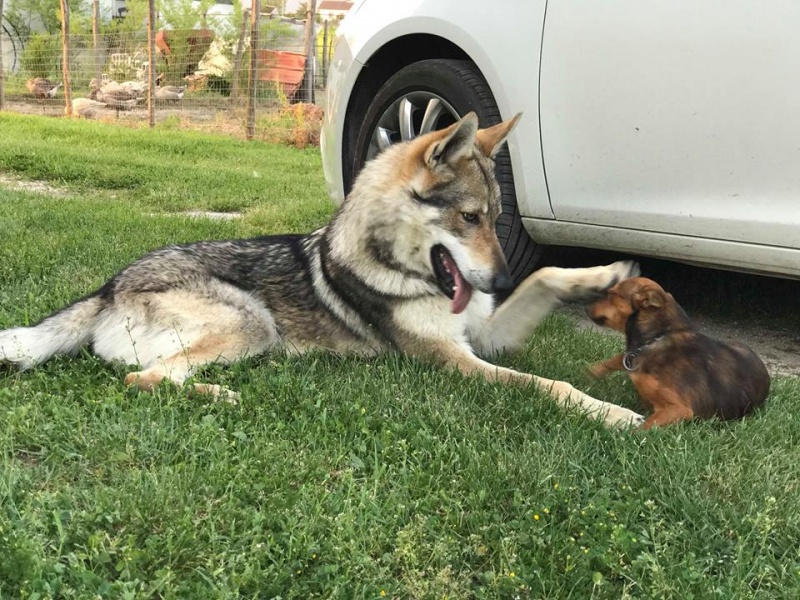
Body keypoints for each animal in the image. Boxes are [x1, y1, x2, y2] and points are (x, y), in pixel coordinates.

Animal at [588, 278, 768, 428]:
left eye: (612, 294)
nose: (587, 306)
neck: (656, 338)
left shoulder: (679, 409)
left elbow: (644, 426)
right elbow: (621, 358)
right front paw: (595, 370)